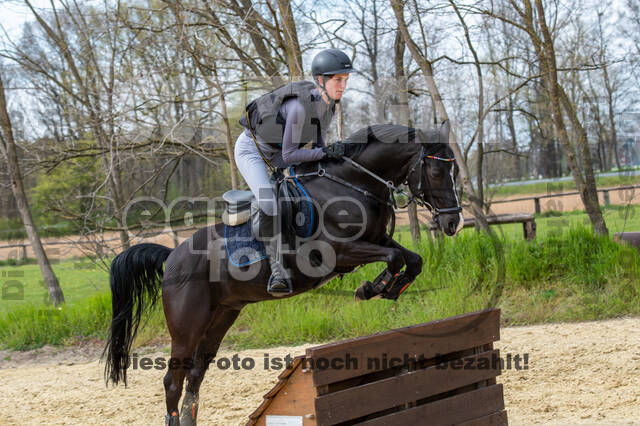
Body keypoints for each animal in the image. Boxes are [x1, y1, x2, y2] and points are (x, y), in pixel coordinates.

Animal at [104, 121, 464, 424]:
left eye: (454, 170)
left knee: (195, 376)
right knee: (172, 381)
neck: (351, 184)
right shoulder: (341, 252)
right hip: (186, 325)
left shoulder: (377, 240)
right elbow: (394, 258)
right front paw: (372, 288)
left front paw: (387, 287)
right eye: (434, 171)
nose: (453, 222)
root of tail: (172, 256)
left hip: (221, 316)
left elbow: (410, 259)